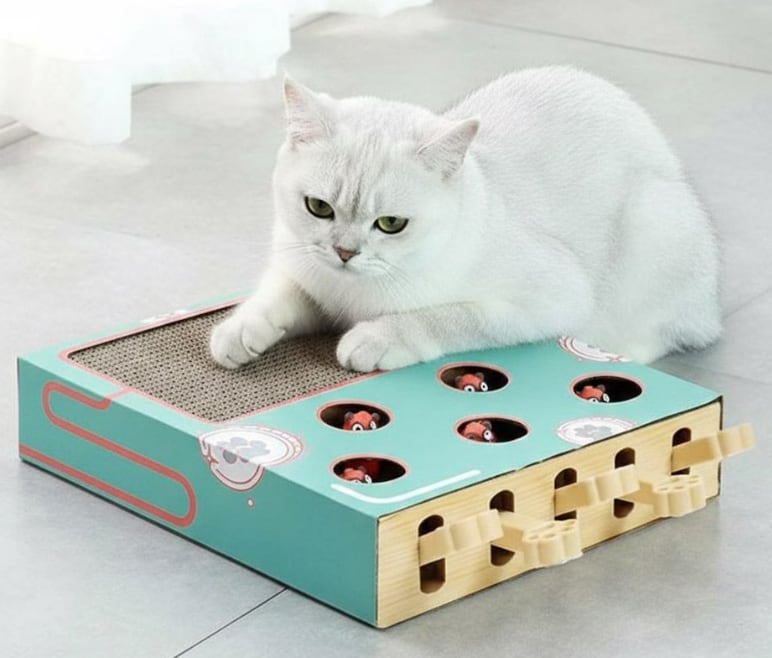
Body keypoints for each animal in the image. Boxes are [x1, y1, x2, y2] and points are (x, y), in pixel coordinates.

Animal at [210, 66, 721, 372]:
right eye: (319, 207)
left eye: (390, 224)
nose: (344, 251)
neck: (352, 294)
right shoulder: (303, 270)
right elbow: (276, 295)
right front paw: (239, 331)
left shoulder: (548, 296)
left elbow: (445, 318)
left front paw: (375, 338)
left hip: (657, 226)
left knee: (666, 331)